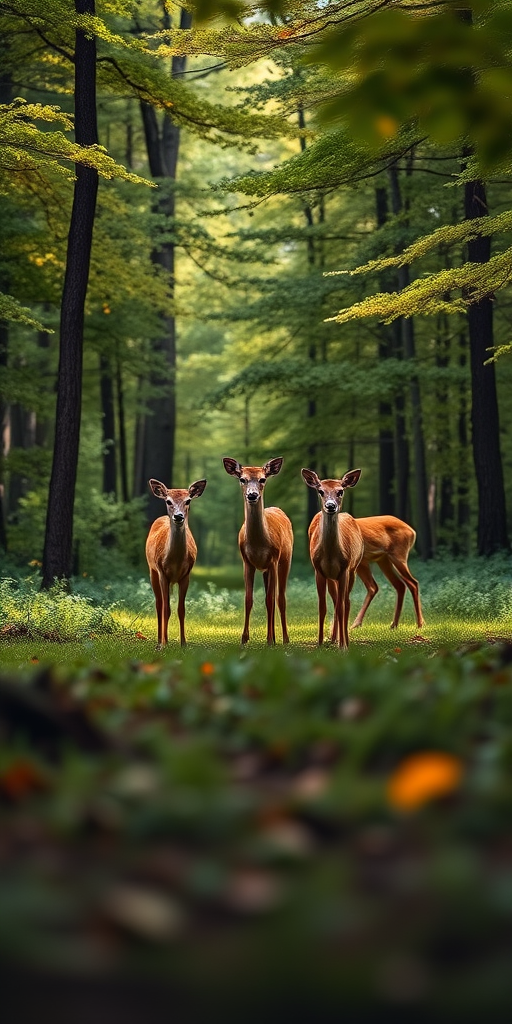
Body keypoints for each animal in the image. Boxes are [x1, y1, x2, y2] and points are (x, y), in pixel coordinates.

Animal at [145, 477, 207, 647]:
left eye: (188, 501)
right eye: (168, 501)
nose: (178, 516)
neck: (175, 561)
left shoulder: (186, 575)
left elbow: (181, 609)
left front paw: (184, 643)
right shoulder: (162, 573)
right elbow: (166, 609)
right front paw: (164, 644)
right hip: (152, 571)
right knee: (159, 605)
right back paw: (159, 641)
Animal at [223, 457, 293, 646]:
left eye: (262, 479)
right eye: (242, 479)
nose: (252, 495)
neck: (258, 544)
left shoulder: (274, 560)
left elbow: (270, 599)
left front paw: (269, 640)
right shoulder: (247, 561)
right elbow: (248, 599)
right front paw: (244, 638)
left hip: (285, 560)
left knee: (280, 598)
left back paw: (284, 638)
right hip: (265, 569)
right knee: (272, 597)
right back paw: (275, 637)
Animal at [302, 468, 364, 649]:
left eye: (340, 491)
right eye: (320, 491)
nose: (330, 506)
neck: (330, 556)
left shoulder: (344, 569)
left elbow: (342, 606)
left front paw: (343, 646)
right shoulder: (319, 571)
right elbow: (322, 607)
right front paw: (320, 642)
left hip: (353, 570)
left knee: (346, 603)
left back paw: (344, 640)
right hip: (332, 578)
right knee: (337, 600)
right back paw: (334, 638)